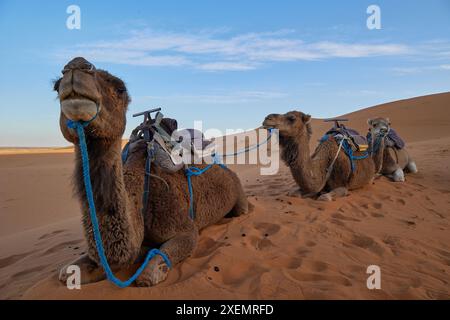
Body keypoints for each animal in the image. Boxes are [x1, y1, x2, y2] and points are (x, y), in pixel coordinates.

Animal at [55, 58, 251, 288]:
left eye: (120, 88)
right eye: (56, 86)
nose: (76, 66)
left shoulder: (185, 229)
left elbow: (148, 275)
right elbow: (67, 272)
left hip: (238, 193)